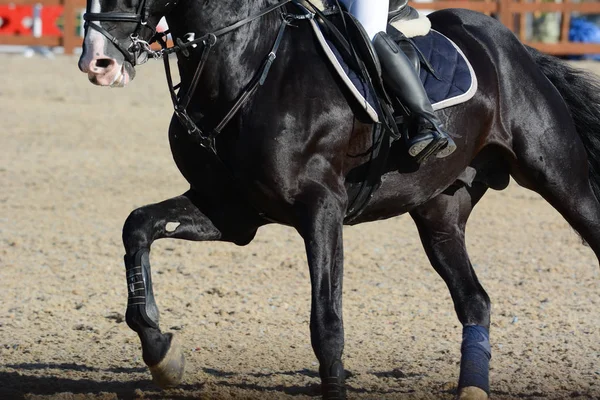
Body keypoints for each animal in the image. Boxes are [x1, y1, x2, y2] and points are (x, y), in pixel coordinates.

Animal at [77, 0, 600, 398]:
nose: (97, 63)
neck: (244, 67)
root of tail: (509, 44)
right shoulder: (230, 213)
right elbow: (137, 227)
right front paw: (161, 353)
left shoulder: (320, 209)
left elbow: (326, 324)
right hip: (439, 212)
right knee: (475, 300)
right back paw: (472, 388)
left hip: (557, 175)